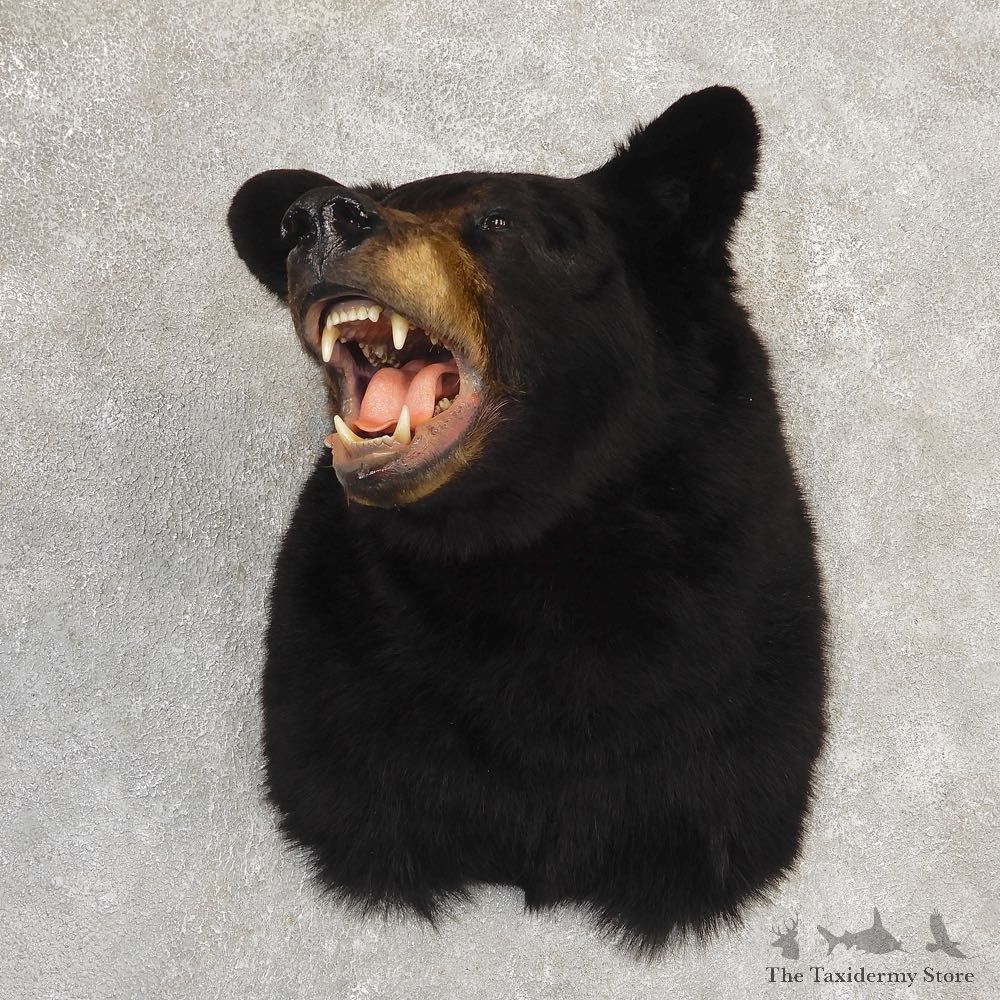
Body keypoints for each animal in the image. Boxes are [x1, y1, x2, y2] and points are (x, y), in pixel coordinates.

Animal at [227, 85, 827, 957]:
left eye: (503, 222)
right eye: (381, 197)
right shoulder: (341, 682)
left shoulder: (728, 676)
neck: (521, 549)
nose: (310, 217)